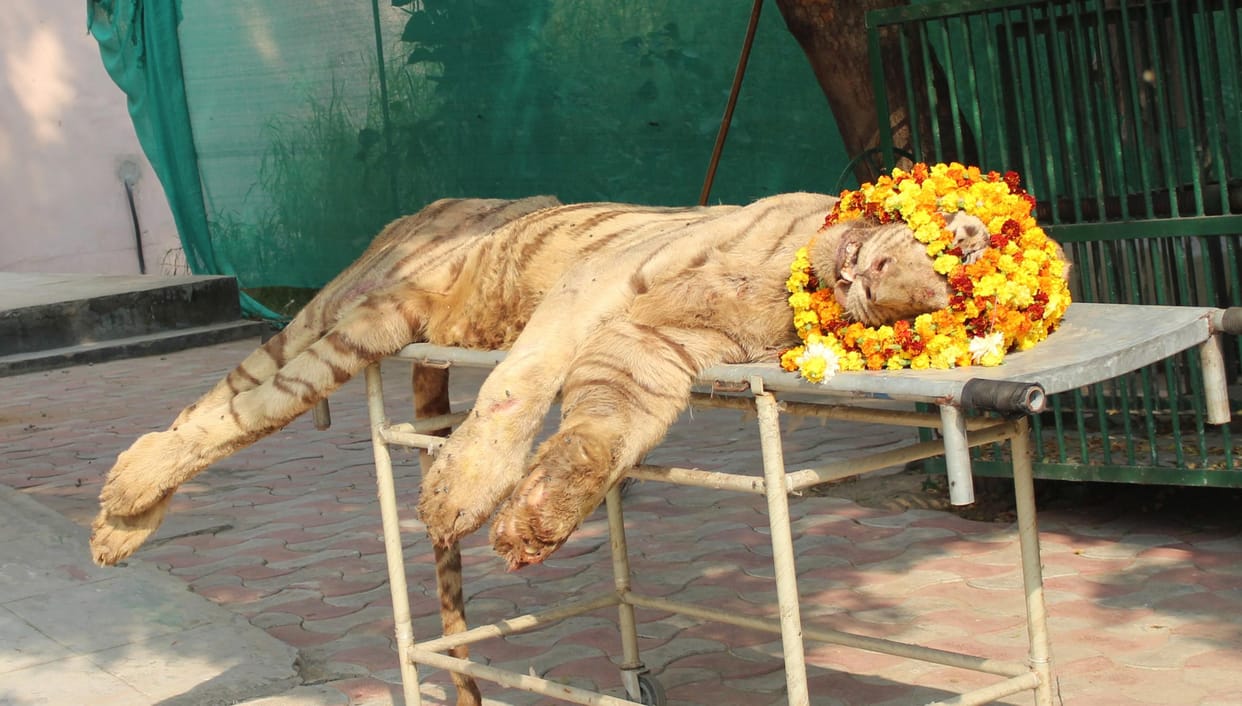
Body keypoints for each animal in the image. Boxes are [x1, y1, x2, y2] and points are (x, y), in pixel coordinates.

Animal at [88, 192, 988, 705]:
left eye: (909, 318)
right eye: (918, 261)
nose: (864, 277)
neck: (784, 289)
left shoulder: (658, 347)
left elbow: (598, 432)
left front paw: (535, 522)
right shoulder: (606, 281)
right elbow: (520, 386)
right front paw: (461, 492)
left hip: (373, 323)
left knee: (245, 403)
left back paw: (119, 518)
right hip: (350, 314)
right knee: (229, 405)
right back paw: (121, 510)